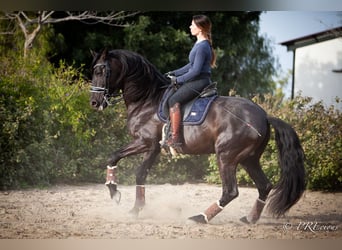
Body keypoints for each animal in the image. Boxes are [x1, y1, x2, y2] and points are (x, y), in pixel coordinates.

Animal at [90, 48, 304, 223]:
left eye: (100, 72)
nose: (94, 102)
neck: (147, 99)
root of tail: (264, 116)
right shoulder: (146, 145)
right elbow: (118, 160)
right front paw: (119, 196)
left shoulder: (148, 144)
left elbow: (136, 171)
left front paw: (127, 202)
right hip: (249, 159)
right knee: (264, 186)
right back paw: (249, 219)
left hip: (226, 156)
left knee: (231, 191)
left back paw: (200, 217)